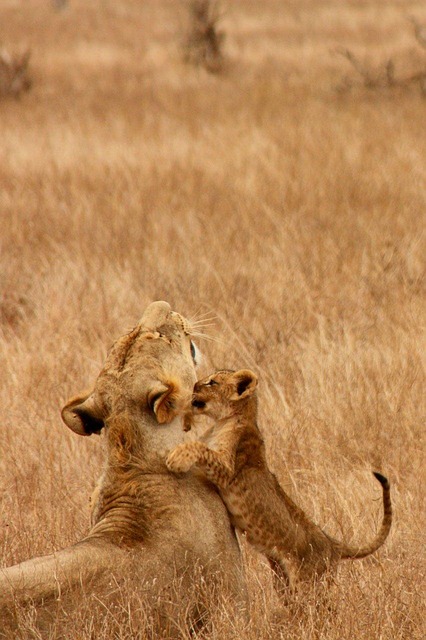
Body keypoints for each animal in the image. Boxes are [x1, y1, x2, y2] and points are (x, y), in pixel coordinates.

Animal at [166, 368, 392, 590]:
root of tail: (332, 544)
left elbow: (200, 448)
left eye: (212, 382)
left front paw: (176, 458)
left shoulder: (228, 471)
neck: (224, 422)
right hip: (283, 582)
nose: (194, 385)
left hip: (310, 585)